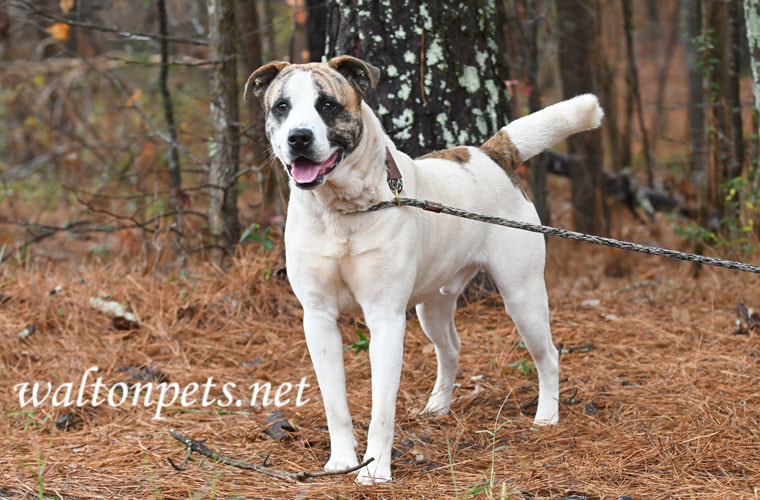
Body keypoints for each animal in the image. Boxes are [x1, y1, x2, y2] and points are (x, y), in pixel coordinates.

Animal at [246, 55, 604, 484]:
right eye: (281, 106)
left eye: (327, 105)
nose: (298, 137)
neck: (341, 211)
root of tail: (489, 154)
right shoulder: (318, 319)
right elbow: (335, 404)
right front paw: (342, 461)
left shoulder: (385, 319)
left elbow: (382, 409)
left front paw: (374, 471)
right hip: (432, 306)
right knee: (450, 349)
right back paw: (438, 407)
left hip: (523, 295)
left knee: (547, 354)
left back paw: (547, 415)